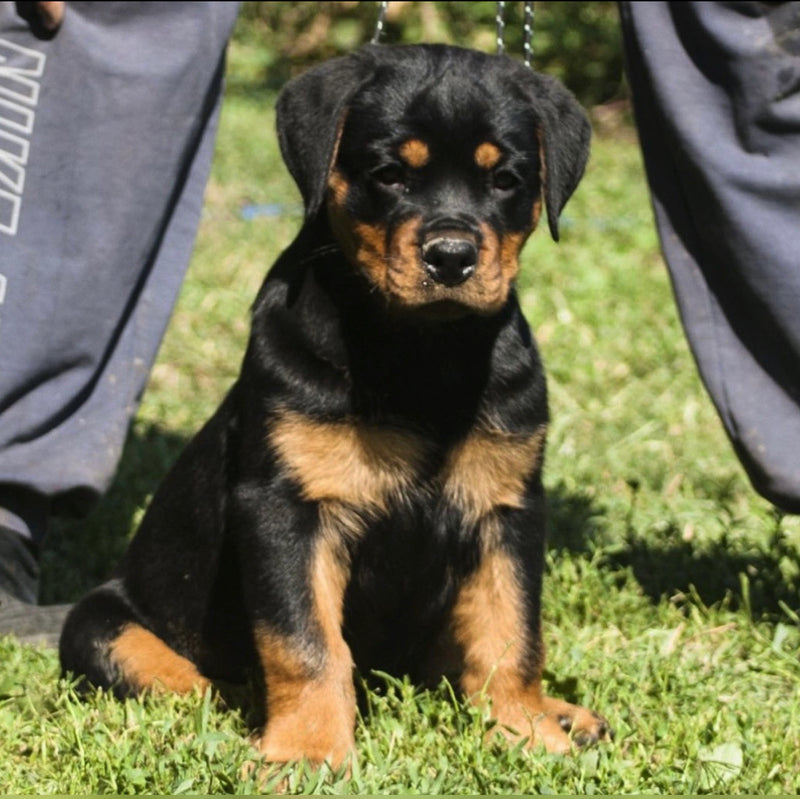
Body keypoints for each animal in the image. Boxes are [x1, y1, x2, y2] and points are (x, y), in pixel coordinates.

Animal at [59, 45, 608, 768]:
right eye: (389, 174)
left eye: (506, 179)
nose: (452, 257)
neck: (419, 350)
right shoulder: (285, 506)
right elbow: (306, 642)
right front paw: (309, 751)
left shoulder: (508, 507)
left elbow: (511, 632)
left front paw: (528, 733)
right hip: (100, 625)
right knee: (185, 675)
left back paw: (563, 713)